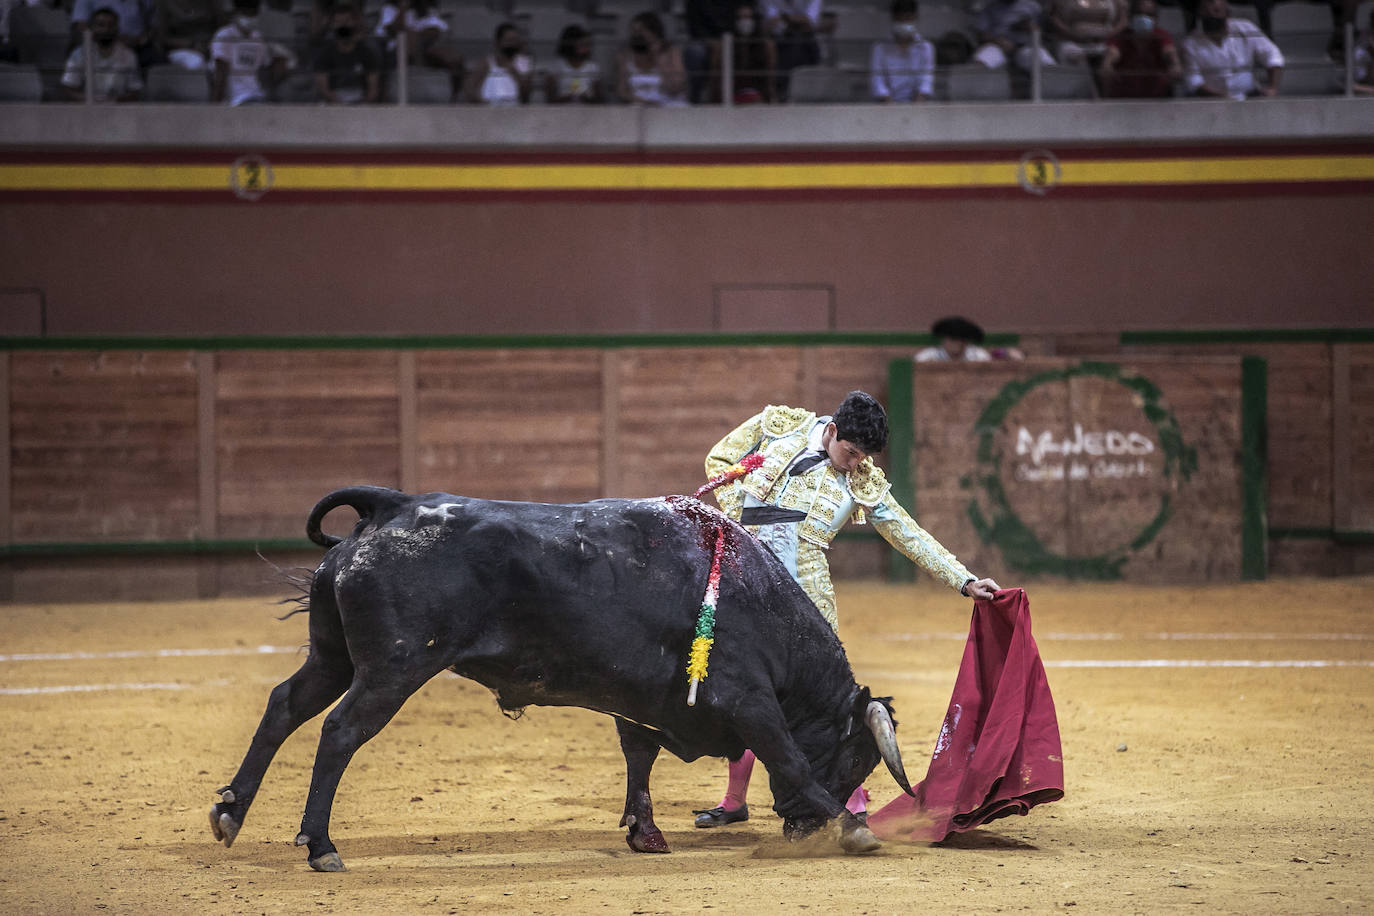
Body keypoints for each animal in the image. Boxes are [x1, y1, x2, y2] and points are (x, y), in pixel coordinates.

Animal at [208, 483, 917, 873]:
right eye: (858, 758)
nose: (798, 828)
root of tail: (392, 507)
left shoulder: (644, 702)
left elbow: (639, 756)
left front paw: (644, 833)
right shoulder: (749, 701)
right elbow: (788, 757)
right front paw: (852, 827)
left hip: (334, 657)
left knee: (284, 705)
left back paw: (231, 812)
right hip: (394, 669)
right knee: (339, 731)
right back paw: (320, 844)